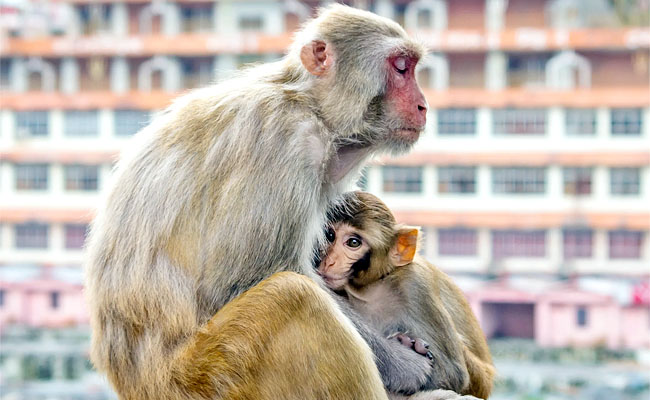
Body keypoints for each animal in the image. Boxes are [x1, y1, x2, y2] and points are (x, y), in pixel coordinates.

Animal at [80, 4, 465, 399]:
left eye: (412, 67)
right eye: (401, 67)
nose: (423, 106)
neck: (310, 106)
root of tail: (136, 383)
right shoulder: (285, 139)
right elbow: (244, 279)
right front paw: (405, 364)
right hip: (204, 375)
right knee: (293, 295)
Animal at [317, 191, 496, 399]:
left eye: (353, 242)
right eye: (330, 235)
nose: (329, 261)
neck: (371, 289)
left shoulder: (416, 286)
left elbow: (453, 373)